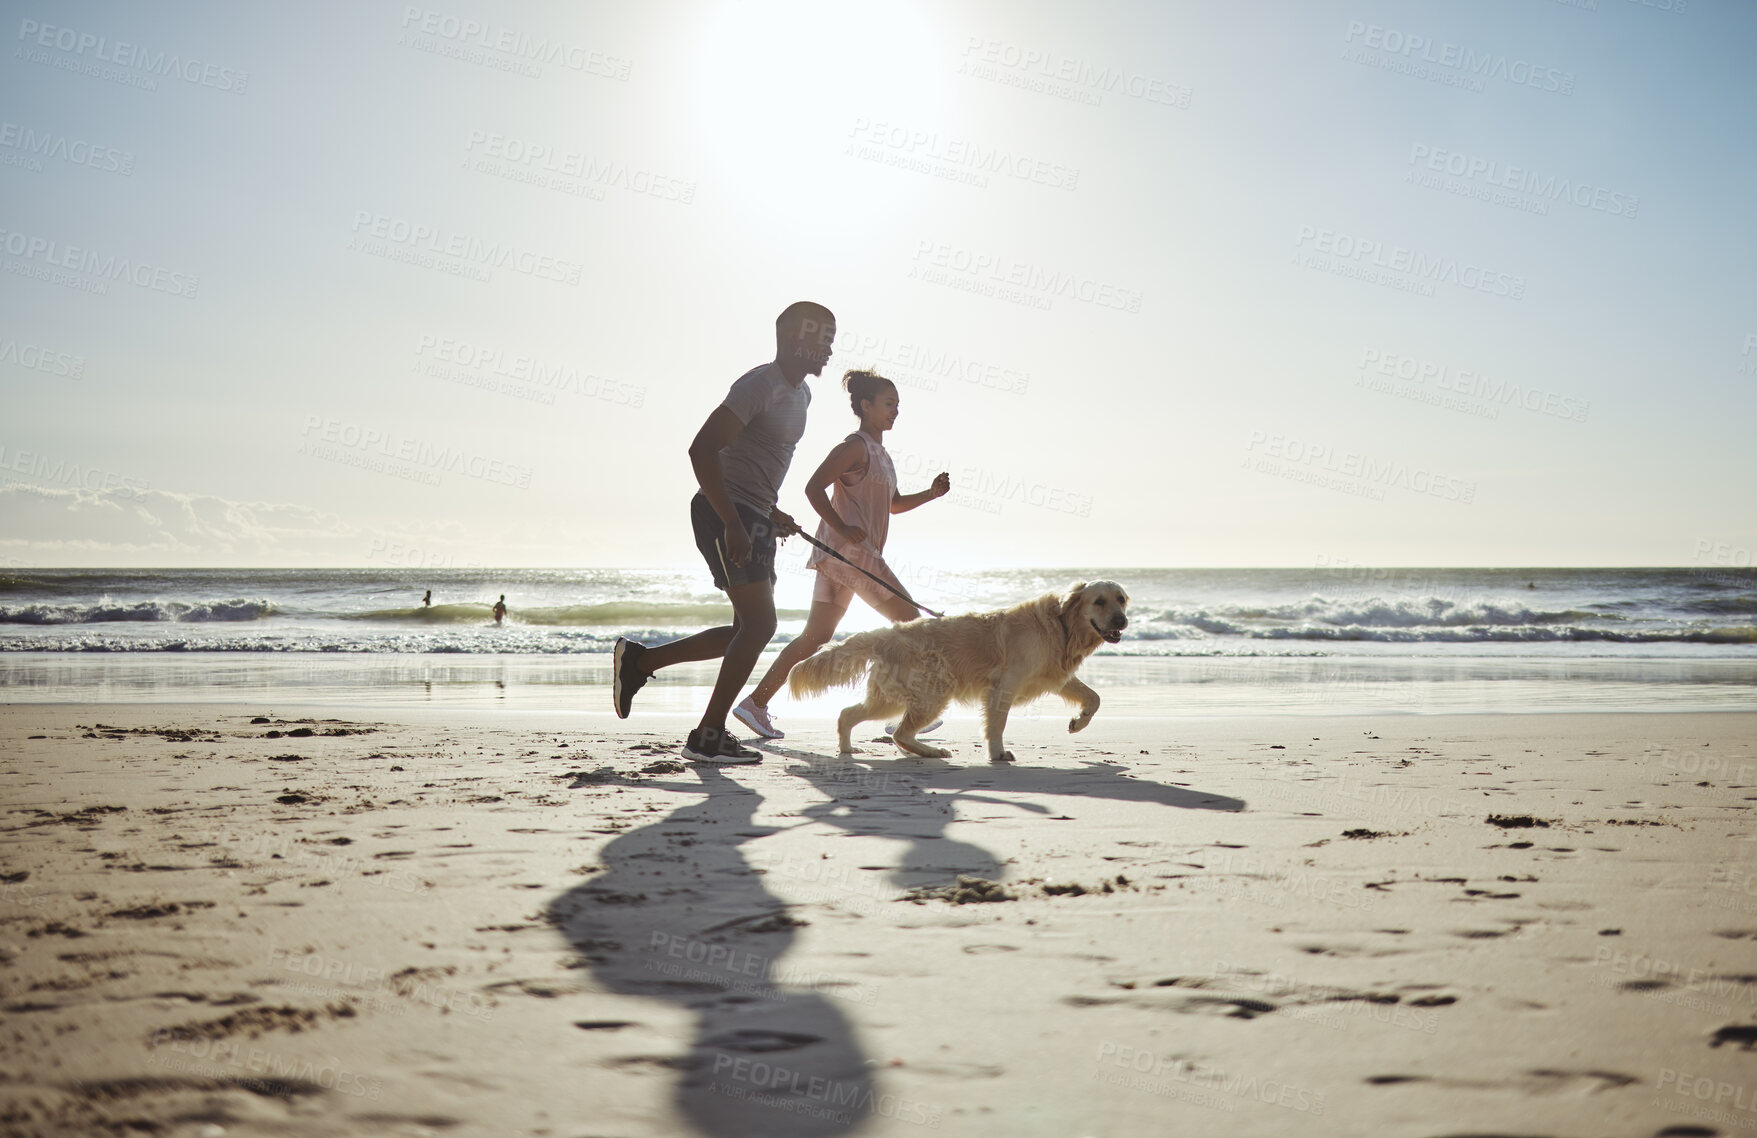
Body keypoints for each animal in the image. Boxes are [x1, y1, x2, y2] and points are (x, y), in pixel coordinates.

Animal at [794, 583, 1131, 758]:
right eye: (1099, 601)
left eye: (1121, 600)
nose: (1122, 621)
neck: (1061, 625)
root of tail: (886, 633)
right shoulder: (1005, 684)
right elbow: (997, 724)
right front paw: (998, 753)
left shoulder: (1054, 676)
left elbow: (1094, 697)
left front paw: (1078, 722)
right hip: (933, 691)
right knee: (900, 732)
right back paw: (930, 752)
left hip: (890, 698)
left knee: (849, 715)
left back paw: (849, 748)